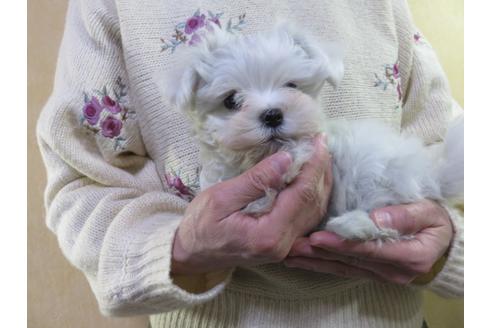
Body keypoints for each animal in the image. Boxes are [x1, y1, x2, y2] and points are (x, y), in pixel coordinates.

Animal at [162, 22, 466, 238]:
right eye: (231, 101)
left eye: (292, 86)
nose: (272, 115)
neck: (257, 158)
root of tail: (429, 175)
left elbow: (296, 156)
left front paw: (282, 174)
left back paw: (353, 225)